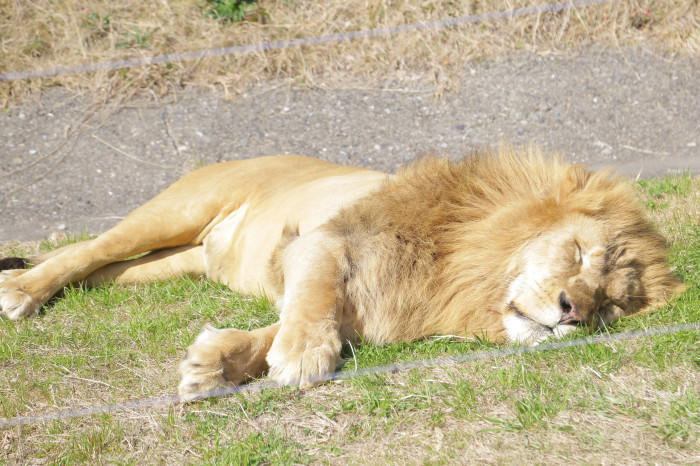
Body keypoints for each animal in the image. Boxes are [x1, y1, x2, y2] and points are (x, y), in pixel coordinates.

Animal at [0, 147, 680, 396]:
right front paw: (303, 356)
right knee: (88, 249)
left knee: (100, 271)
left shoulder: (371, 309)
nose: (573, 313)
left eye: (609, 307)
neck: (459, 269)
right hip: (178, 208)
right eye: (578, 255)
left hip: (174, 264)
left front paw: (215, 365)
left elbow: (274, 329)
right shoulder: (322, 242)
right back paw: (19, 291)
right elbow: (313, 299)